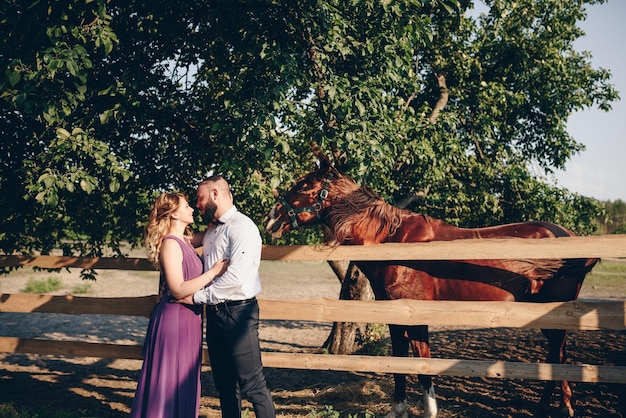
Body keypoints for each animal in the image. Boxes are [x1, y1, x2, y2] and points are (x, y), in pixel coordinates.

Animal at [262, 153, 596, 418]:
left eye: (304, 187)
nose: (271, 219)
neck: (395, 242)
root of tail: (566, 234)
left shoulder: (415, 314)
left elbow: (422, 363)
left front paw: (429, 410)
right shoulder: (395, 315)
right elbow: (400, 361)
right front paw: (399, 409)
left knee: (558, 354)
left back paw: (557, 407)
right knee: (557, 354)